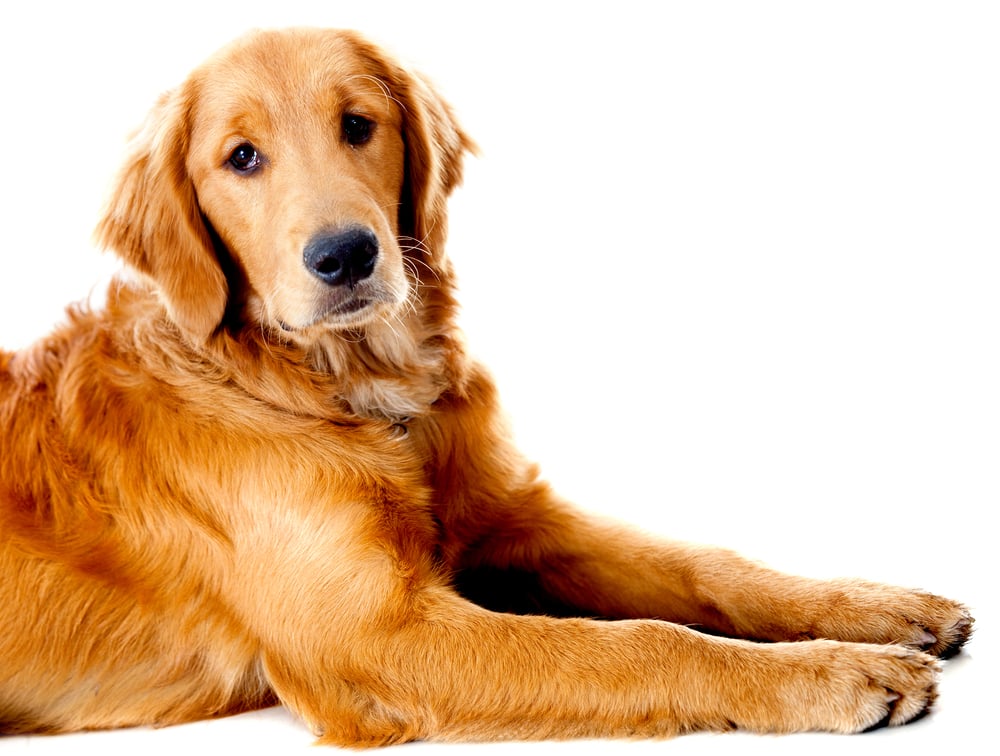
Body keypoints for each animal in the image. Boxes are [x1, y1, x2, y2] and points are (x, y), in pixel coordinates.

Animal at [0, 28, 968, 744]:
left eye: (359, 124)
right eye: (241, 158)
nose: (345, 255)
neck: (356, 389)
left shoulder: (520, 521)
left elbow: (708, 566)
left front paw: (871, 610)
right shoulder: (373, 639)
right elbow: (642, 646)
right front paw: (835, 673)